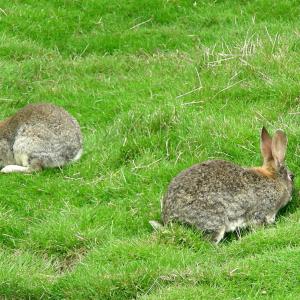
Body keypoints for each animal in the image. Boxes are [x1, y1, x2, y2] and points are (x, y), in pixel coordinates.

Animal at [154, 127, 294, 244]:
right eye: (292, 177)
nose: (292, 196)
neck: (273, 179)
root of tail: (169, 219)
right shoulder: (260, 211)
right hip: (215, 220)